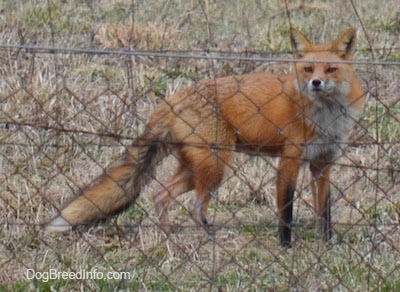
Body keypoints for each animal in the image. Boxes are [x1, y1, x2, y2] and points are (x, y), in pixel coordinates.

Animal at [47, 28, 366, 246]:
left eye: (331, 69)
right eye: (308, 68)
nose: (315, 83)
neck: (326, 117)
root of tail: (173, 98)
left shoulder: (323, 165)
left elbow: (324, 211)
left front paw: (327, 244)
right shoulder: (289, 162)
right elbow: (285, 211)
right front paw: (286, 247)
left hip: (196, 167)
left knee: (160, 193)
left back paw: (170, 237)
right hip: (215, 166)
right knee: (194, 207)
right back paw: (207, 238)